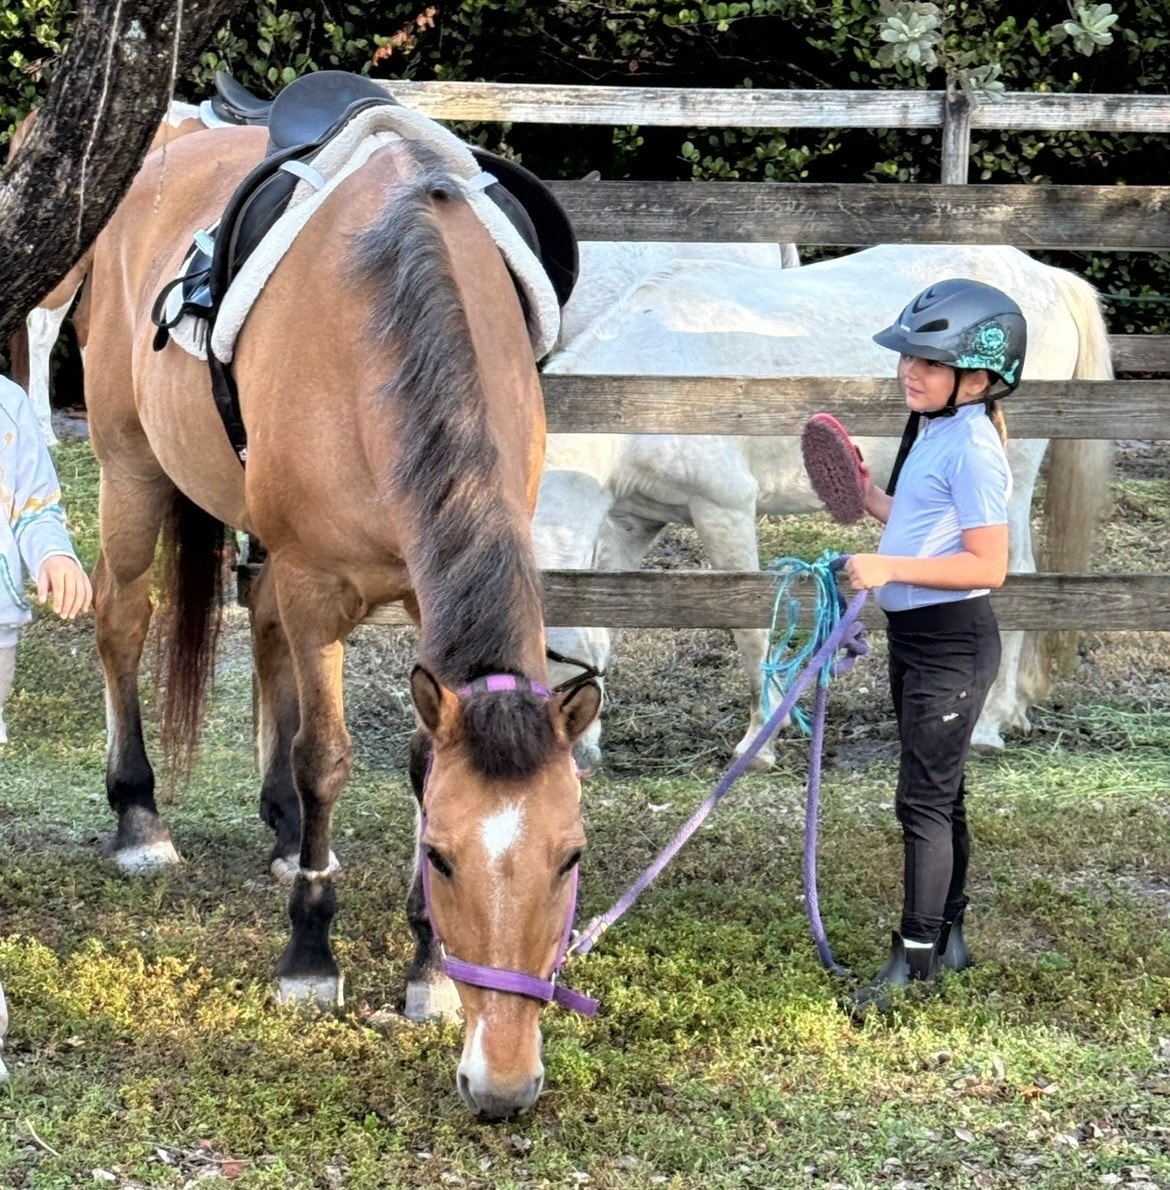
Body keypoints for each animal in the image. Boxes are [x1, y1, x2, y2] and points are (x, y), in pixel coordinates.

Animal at [85, 122, 600, 1120]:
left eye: (569, 858)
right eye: (442, 857)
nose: (503, 1082)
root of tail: (176, 140)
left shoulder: (412, 599)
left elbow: (416, 760)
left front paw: (427, 969)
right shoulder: (318, 585)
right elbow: (325, 757)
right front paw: (310, 956)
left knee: (262, 634)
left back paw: (286, 834)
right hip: (129, 469)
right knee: (123, 620)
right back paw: (139, 819)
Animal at [538, 243, 1113, 771]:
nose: (569, 757)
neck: (647, 388)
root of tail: (1048, 277)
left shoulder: (723, 510)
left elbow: (749, 630)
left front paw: (759, 743)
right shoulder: (632, 524)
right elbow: (606, 628)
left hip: (1006, 484)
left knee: (1016, 580)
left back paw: (990, 724)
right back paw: (1011, 711)